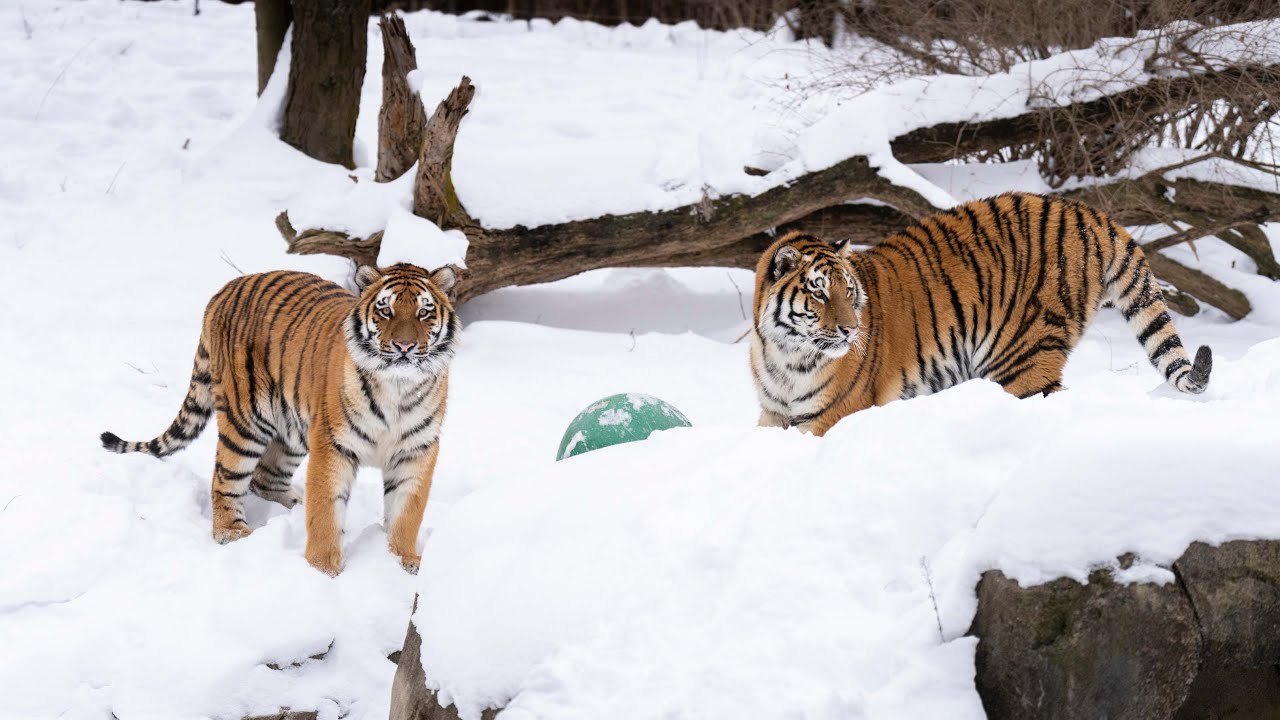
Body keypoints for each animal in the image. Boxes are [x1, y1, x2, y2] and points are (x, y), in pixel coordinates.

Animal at [101, 263, 460, 576]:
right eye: (386, 311)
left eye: (424, 312)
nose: (405, 346)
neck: (398, 386)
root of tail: (224, 290)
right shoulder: (333, 444)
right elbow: (326, 513)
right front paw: (322, 571)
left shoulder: (416, 450)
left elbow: (406, 513)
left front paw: (402, 561)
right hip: (246, 422)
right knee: (226, 479)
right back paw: (232, 532)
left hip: (293, 430)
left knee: (264, 478)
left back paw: (296, 503)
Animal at [751, 192, 1212, 436]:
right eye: (819, 293)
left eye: (848, 291)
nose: (849, 331)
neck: (784, 355)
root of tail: (1090, 214)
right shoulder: (772, 415)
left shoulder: (830, 416)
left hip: (1021, 356)